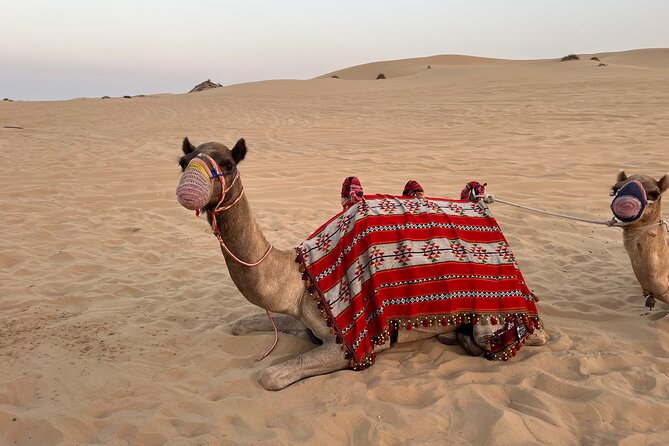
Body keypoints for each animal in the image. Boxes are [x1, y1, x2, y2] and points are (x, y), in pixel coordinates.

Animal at [176, 138, 548, 390]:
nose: (187, 189)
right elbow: (242, 325)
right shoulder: (310, 323)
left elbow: (270, 375)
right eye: (182, 161)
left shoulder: (352, 342)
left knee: (525, 337)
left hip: (495, 314)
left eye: (228, 163)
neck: (299, 278)